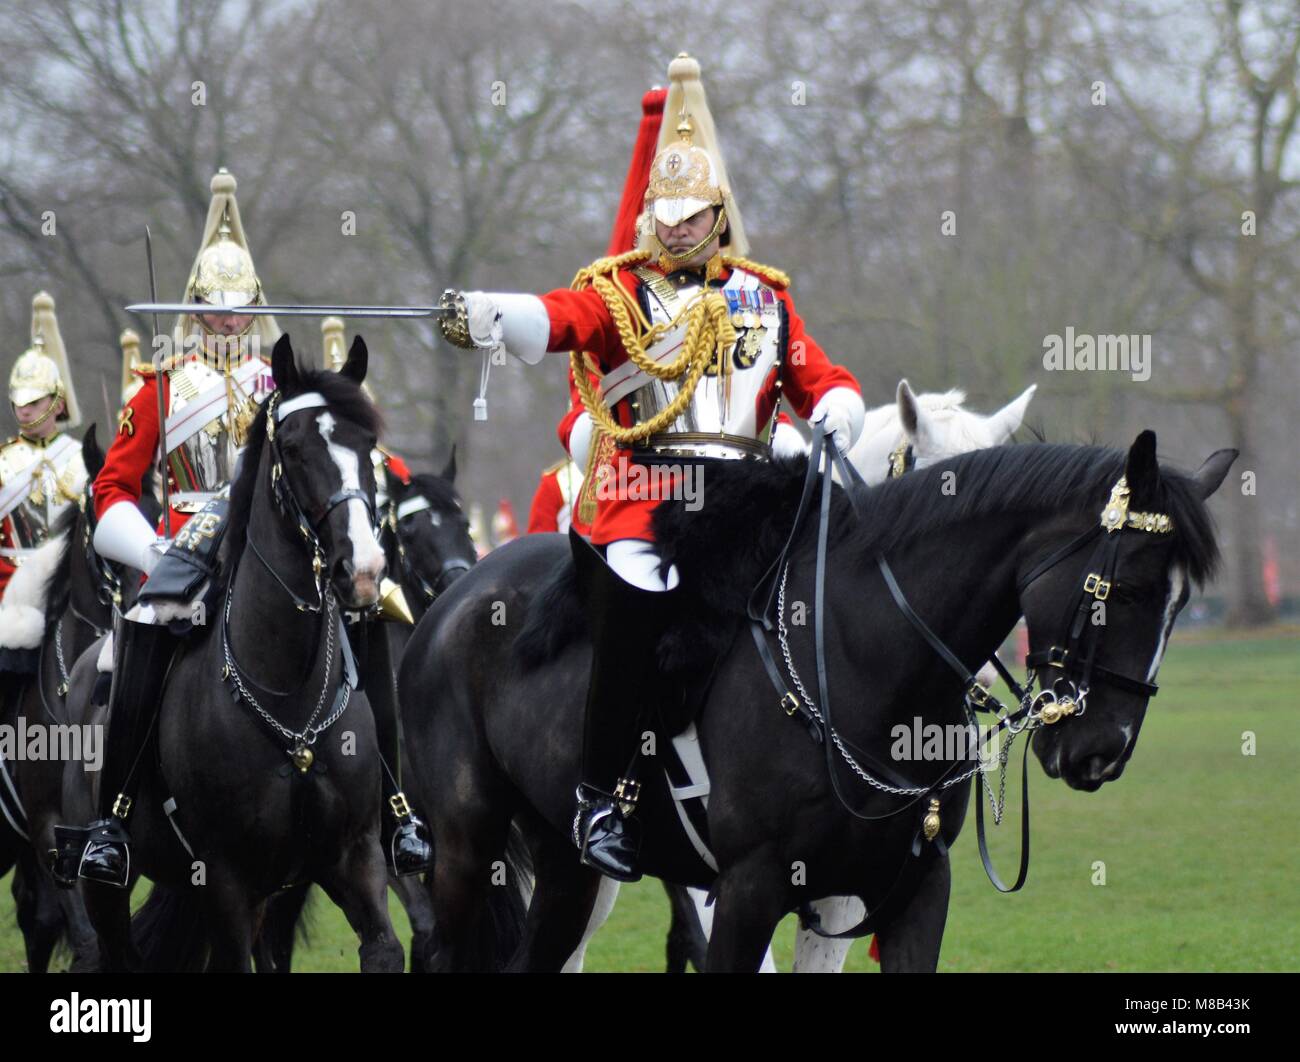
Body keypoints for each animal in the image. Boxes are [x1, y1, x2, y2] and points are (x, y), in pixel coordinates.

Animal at [68, 337, 403, 967]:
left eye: (368, 446)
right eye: (293, 448)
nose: (364, 572)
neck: (288, 691)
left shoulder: (353, 857)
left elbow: (385, 948)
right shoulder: (225, 877)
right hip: (105, 884)